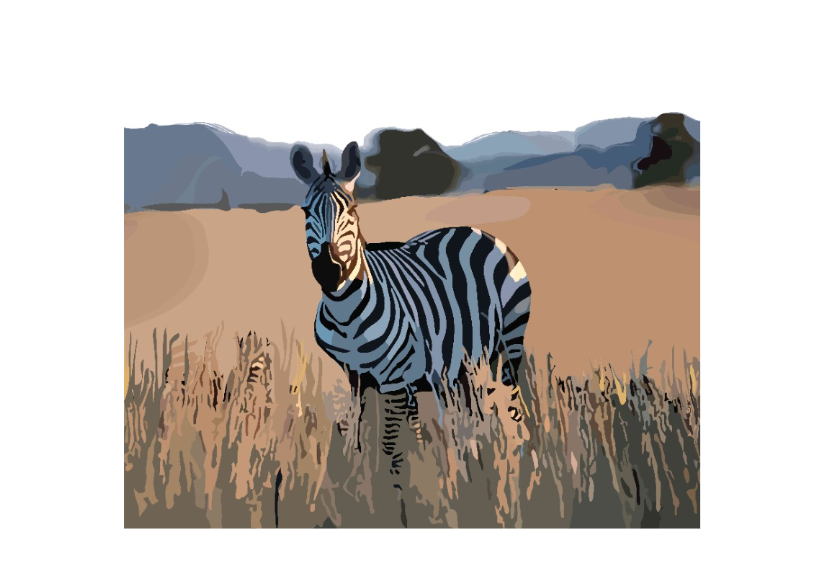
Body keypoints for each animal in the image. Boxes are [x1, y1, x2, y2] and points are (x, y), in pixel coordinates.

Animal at [291, 140, 531, 463]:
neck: (346, 314)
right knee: (474, 411)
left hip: (509, 343)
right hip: (466, 362)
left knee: (511, 405)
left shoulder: (394, 377)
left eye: (352, 210)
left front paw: (395, 474)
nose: (329, 270)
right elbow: (356, 433)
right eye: (306, 211)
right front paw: (355, 471)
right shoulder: (354, 374)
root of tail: (484, 233)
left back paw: (516, 455)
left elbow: (391, 442)